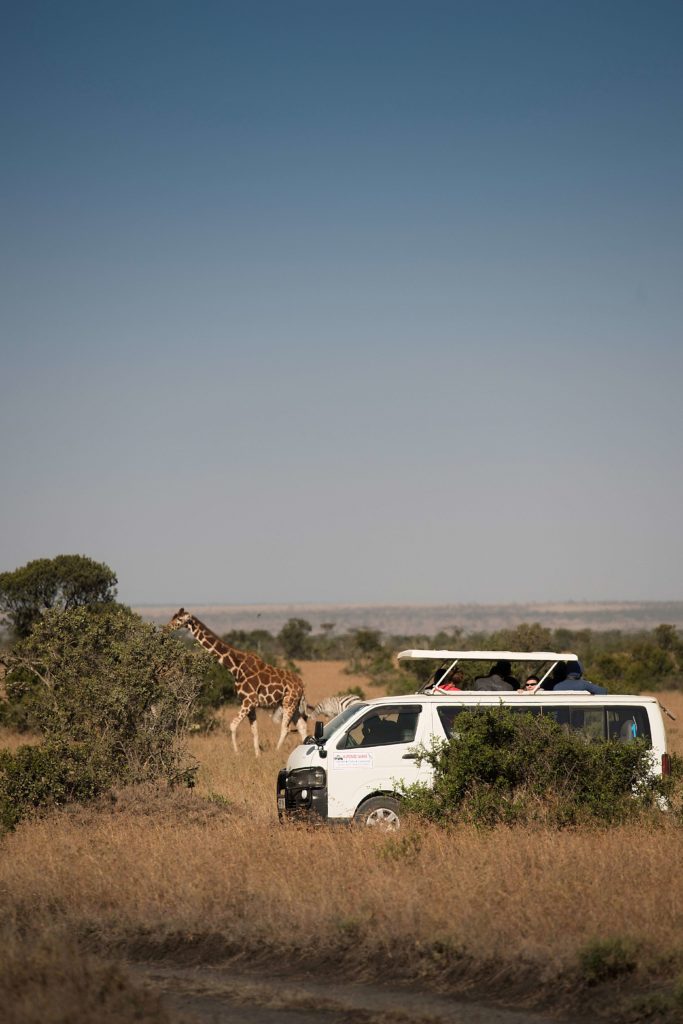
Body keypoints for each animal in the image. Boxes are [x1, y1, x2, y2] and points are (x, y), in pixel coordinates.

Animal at [167, 606, 309, 761]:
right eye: (173, 616)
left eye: (180, 619)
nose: (166, 627)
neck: (235, 667)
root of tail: (301, 685)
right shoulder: (250, 704)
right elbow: (254, 730)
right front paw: (257, 755)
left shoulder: (249, 701)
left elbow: (233, 725)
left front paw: (237, 753)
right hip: (291, 704)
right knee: (302, 726)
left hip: (289, 702)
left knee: (285, 728)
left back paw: (277, 752)